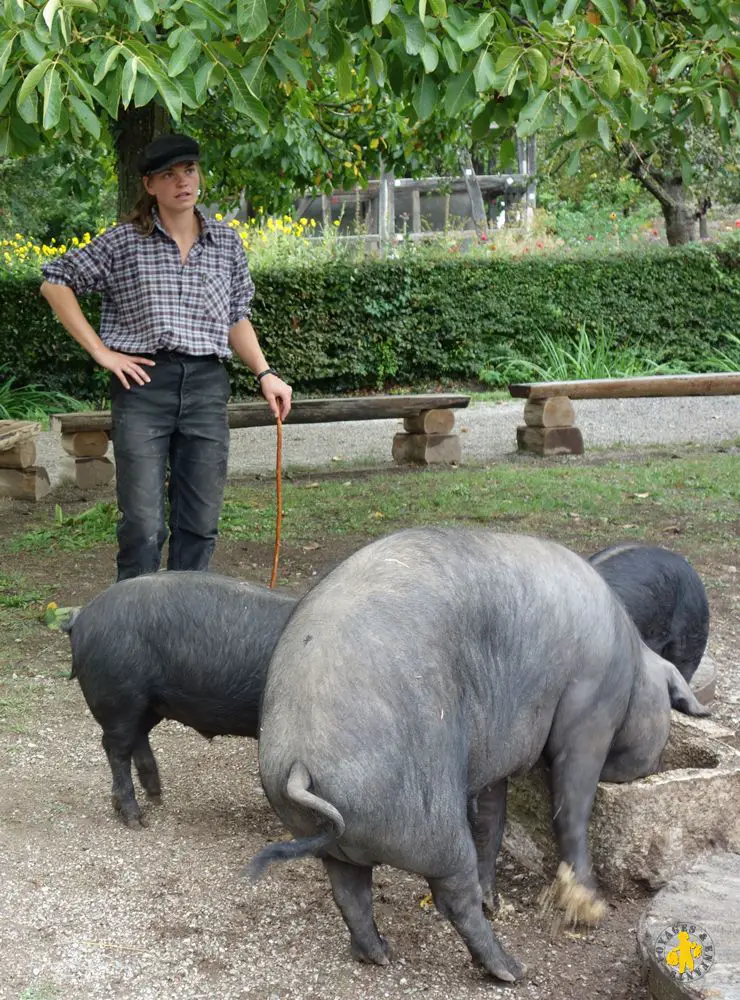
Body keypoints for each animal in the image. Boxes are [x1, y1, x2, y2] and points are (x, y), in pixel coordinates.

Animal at [249, 528, 704, 980]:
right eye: (667, 703)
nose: (657, 765)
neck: (633, 667)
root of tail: (301, 760)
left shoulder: (495, 762)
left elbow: (492, 820)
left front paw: (497, 899)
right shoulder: (590, 712)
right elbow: (570, 807)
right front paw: (591, 907)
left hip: (328, 839)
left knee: (349, 891)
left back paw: (380, 954)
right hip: (432, 825)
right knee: (453, 897)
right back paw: (512, 970)